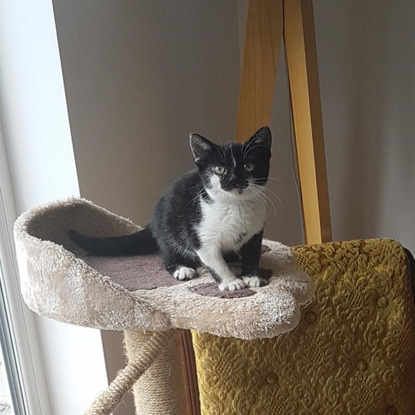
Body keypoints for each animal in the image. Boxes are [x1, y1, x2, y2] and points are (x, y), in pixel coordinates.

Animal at [70, 127, 272, 292]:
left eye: (248, 166)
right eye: (219, 169)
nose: (234, 180)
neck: (236, 205)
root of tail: (153, 221)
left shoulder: (255, 232)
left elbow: (252, 253)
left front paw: (251, 277)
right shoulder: (200, 233)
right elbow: (214, 260)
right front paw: (230, 281)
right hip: (168, 229)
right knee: (167, 252)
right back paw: (181, 268)